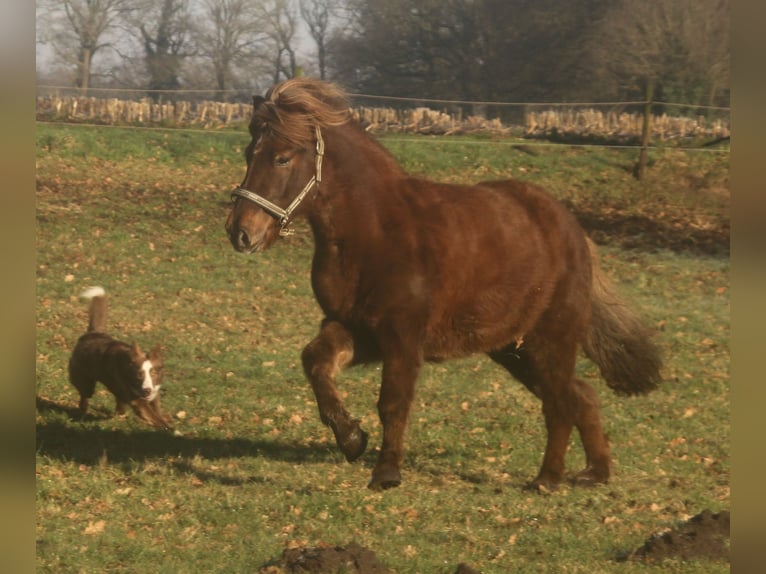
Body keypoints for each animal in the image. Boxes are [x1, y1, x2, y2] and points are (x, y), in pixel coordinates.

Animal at [225, 79, 664, 492]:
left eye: (282, 158)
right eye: (248, 154)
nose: (241, 232)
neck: (374, 231)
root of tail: (574, 231)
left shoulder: (402, 336)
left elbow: (394, 402)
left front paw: (386, 473)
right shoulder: (355, 328)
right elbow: (315, 361)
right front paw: (351, 439)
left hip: (550, 339)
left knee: (559, 403)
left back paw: (547, 479)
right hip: (513, 348)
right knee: (581, 395)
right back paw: (594, 473)